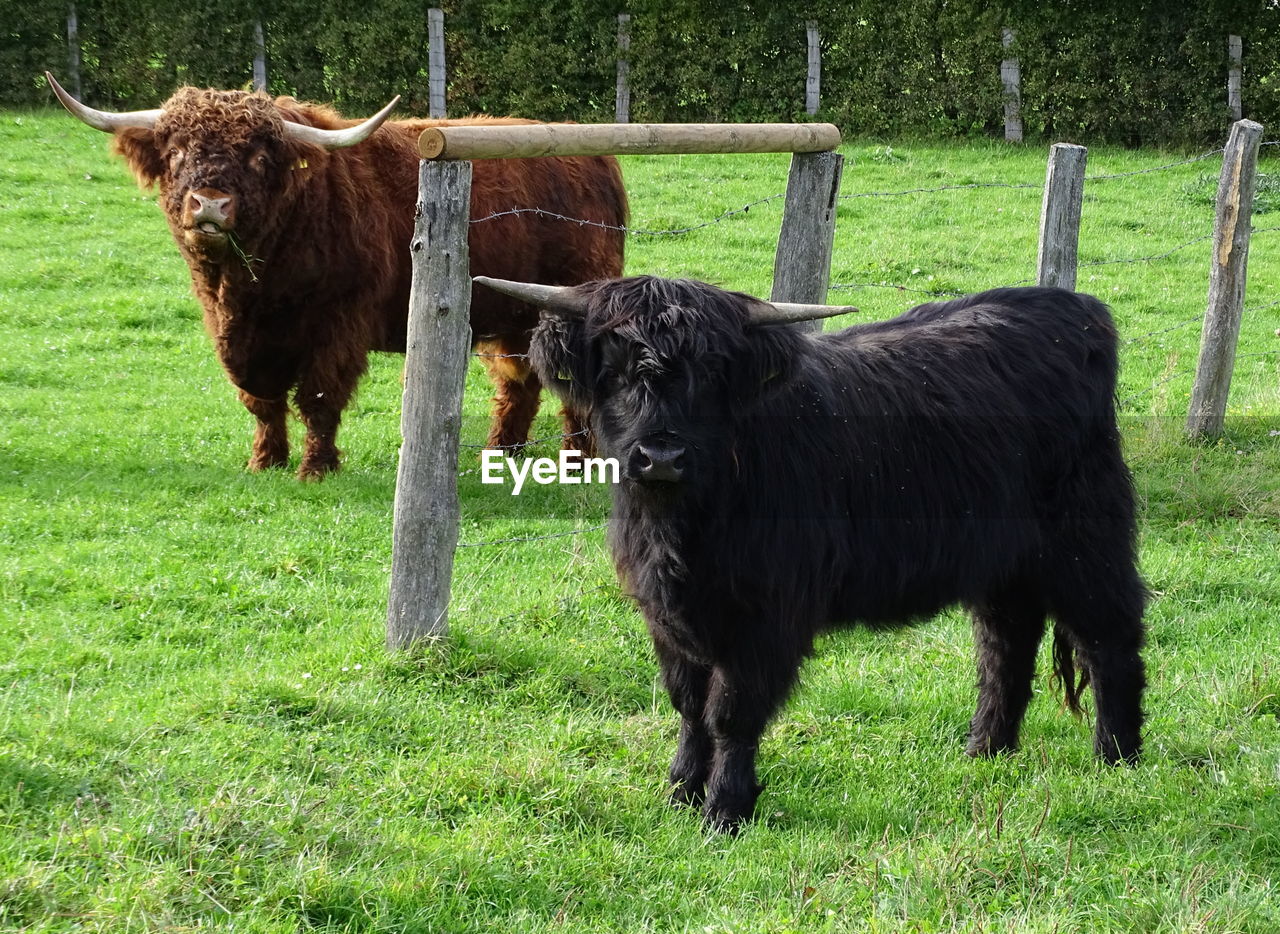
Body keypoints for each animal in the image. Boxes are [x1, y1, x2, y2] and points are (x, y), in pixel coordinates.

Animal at [481, 271, 1152, 829]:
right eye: (614, 367)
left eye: (713, 373)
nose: (662, 456)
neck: (682, 529)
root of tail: (1075, 309)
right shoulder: (665, 613)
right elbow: (689, 705)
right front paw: (679, 792)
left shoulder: (768, 615)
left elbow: (732, 712)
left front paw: (726, 810)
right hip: (1002, 561)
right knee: (1006, 644)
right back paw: (985, 751)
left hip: (1085, 542)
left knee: (1110, 638)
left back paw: (1116, 758)